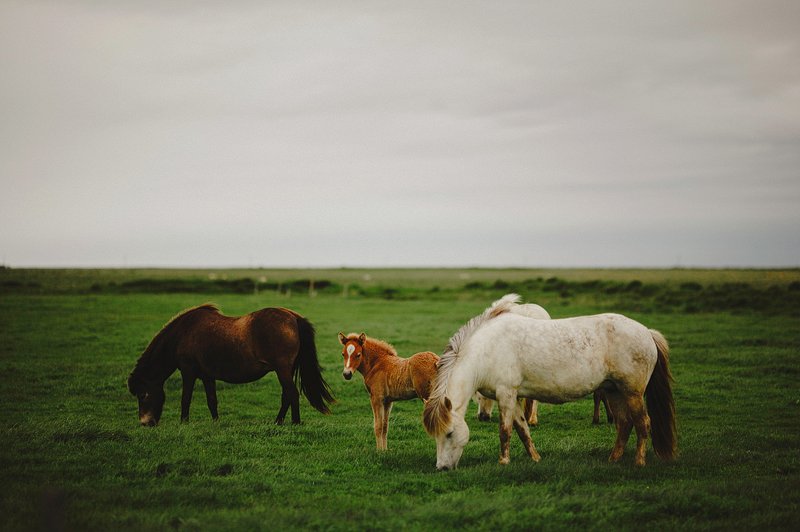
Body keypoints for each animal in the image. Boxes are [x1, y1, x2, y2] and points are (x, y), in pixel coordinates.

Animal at [128, 306, 334, 426]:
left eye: (143, 394)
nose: (146, 423)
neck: (182, 334)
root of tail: (293, 317)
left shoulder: (188, 371)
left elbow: (185, 398)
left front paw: (184, 422)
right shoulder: (207, 376)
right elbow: (212, 400)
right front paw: (215, 422)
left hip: (282, 370)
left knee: (292, 394)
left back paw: (294, 423)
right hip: (286, 371)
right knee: (287, 396)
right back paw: (278, 422)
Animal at [422, 294, 680, 472]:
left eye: (449, 433)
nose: (442, 468)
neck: (486, 349)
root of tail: (646, 332)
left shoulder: (506, 394)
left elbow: (505, 431)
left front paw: (504, 461)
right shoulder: (513, 397)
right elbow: (523, 430)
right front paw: (535, 458)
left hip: (632, 392)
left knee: (642, 423)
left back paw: (639, 462)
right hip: (614, 391)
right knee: (625, 424)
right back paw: (613, 459)